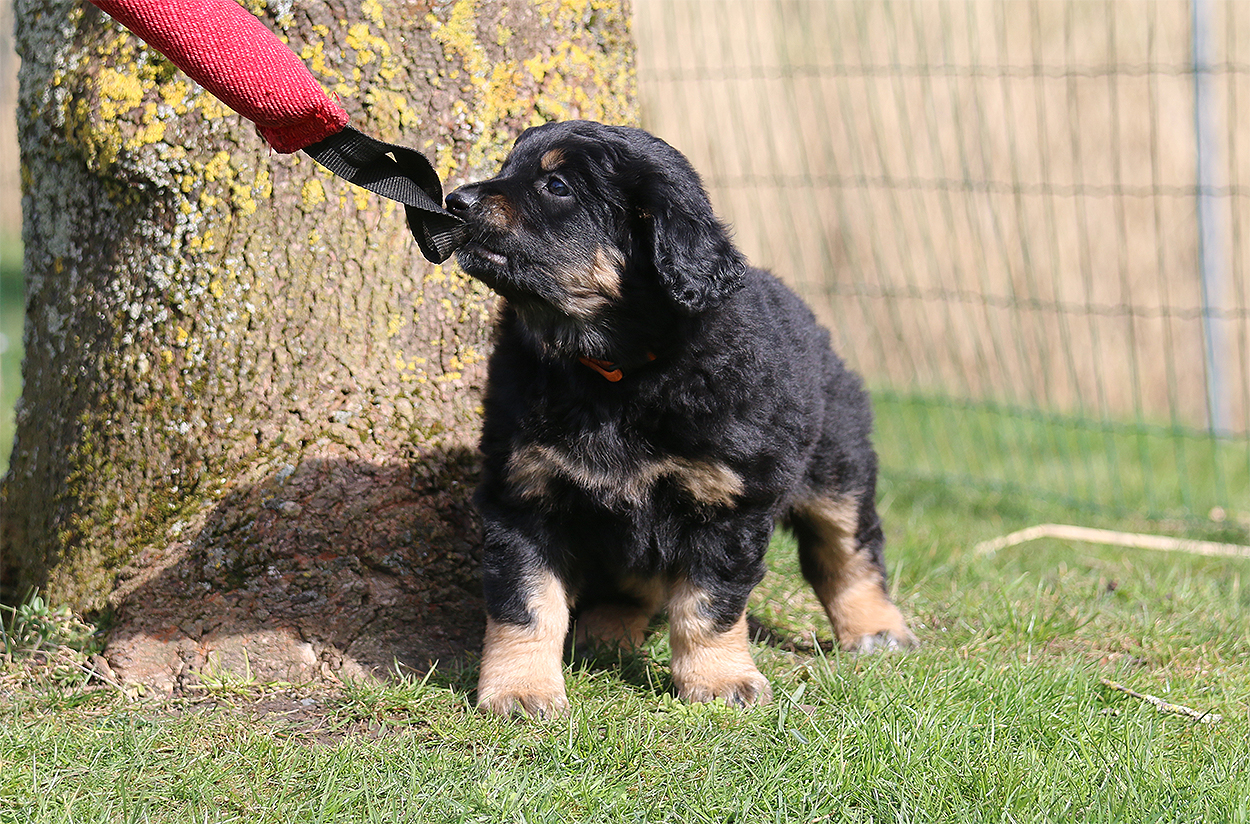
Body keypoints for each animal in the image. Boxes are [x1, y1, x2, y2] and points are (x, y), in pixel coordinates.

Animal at [445, 121, 915, 718]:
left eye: (556, 185)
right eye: (507, 167)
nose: (454, 201)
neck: (614, 372)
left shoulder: (727, 502)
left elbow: (709, 605)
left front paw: (721, 681)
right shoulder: (523, 493)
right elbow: (526, 604)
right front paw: (520, 690)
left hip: (837, 462)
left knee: (849, 549)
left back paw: (878, 630)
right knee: (630, 582)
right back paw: (606, 634)